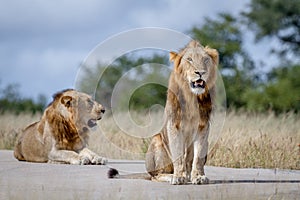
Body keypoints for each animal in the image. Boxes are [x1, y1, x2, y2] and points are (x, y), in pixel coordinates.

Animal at [108, 40, 218, 184]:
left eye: (205, 60)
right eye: (189, 59)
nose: (201, 72)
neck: (191, 96)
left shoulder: (203, 125)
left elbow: (198, 157)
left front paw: (199, 177)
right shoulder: (174, 123)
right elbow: (178, 155)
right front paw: (178, 177)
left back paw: (189, 176)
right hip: (157, 140)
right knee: (156, 175)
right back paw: (172, 176)